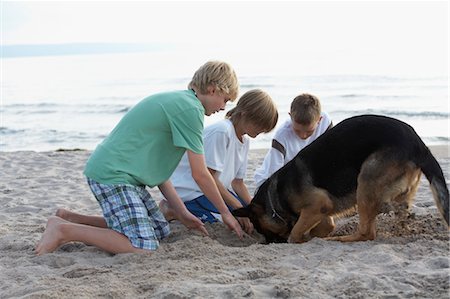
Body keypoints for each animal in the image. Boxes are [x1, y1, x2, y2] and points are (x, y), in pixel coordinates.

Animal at [234, 115, 448, 244]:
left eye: (261, 228)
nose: (268, 243)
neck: (275, 196)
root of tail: (420, 145)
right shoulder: (322, 214)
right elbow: (315, 229)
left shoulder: (319, 204)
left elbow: (294, 234)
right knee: (399, 211)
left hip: (366, 178)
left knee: (367, 232)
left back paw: (340, 239)